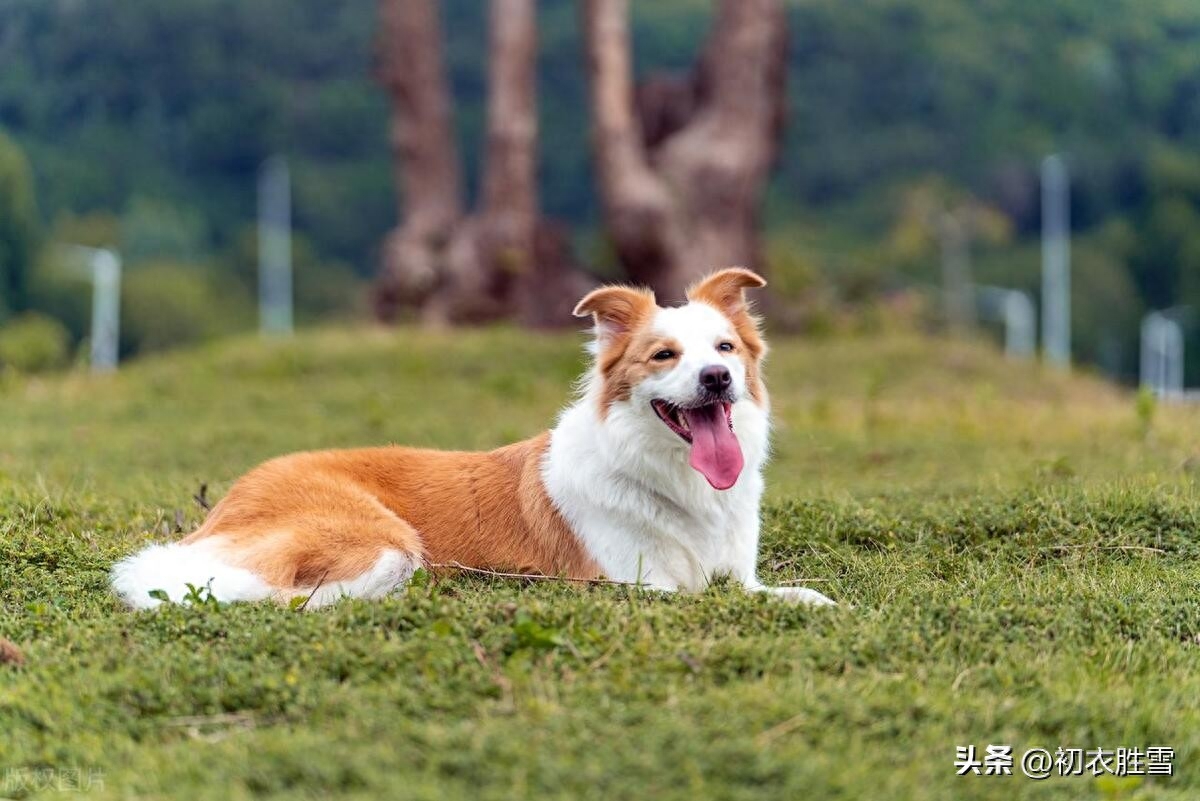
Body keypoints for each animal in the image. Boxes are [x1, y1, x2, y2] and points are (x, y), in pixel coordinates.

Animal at [112, 267, 835, 606]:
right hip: (385, 542)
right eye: (663, 356)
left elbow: (794, 596)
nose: (716, 378)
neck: (674, 478)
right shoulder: (633, 584)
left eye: (725, 347)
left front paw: (822, 603)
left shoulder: (736, 578)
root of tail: (232, 497)